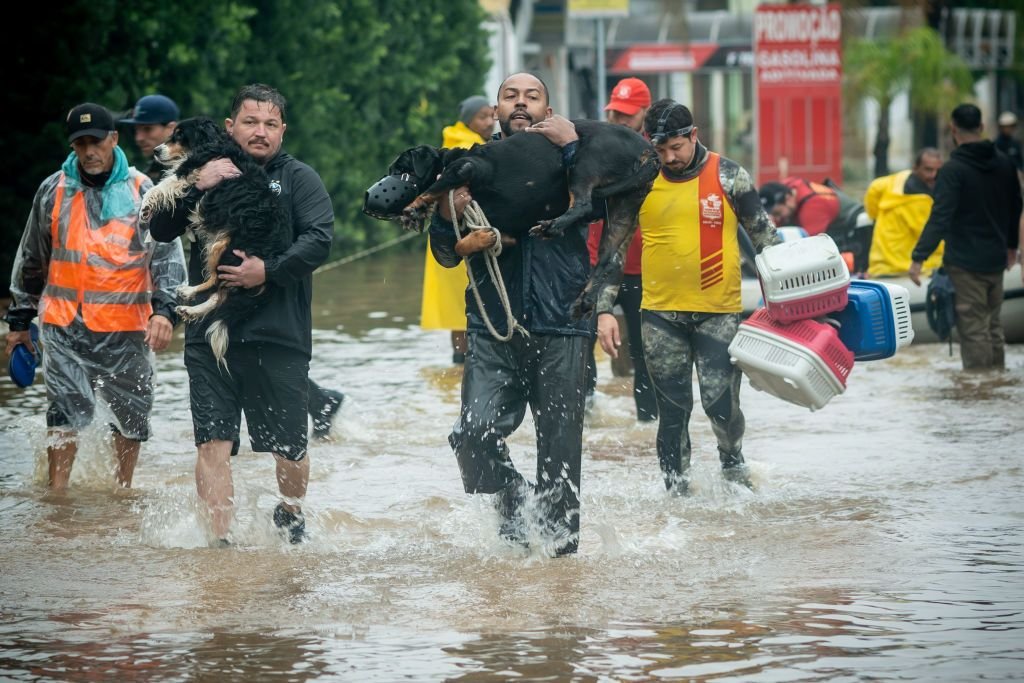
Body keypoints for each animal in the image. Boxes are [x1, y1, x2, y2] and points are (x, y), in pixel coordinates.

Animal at [140, 116, 292, 368]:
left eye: (179, 135)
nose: (155, 150)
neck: (211, 141)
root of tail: (270, 269)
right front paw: (157, 232)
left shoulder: (193, 169)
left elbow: (164, 184)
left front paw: (145, 207)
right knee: (217, 293)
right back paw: (189, 305)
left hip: (225, 249)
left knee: (218, 289)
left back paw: (189, 296)